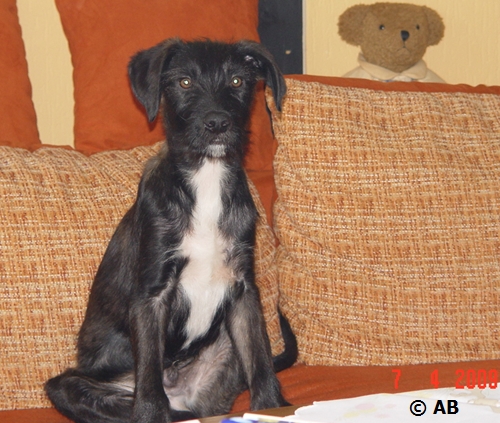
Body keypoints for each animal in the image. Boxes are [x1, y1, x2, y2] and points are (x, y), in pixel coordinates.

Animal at [45, 38, 297, 423]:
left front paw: (272, 407)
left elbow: (261, 360)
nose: (217, 124)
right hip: (70, 386)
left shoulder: (243, 291)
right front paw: (151, 412)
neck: (206, 178)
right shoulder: (152, 293)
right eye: (184, 83)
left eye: (237, 81)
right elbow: (149, 379)